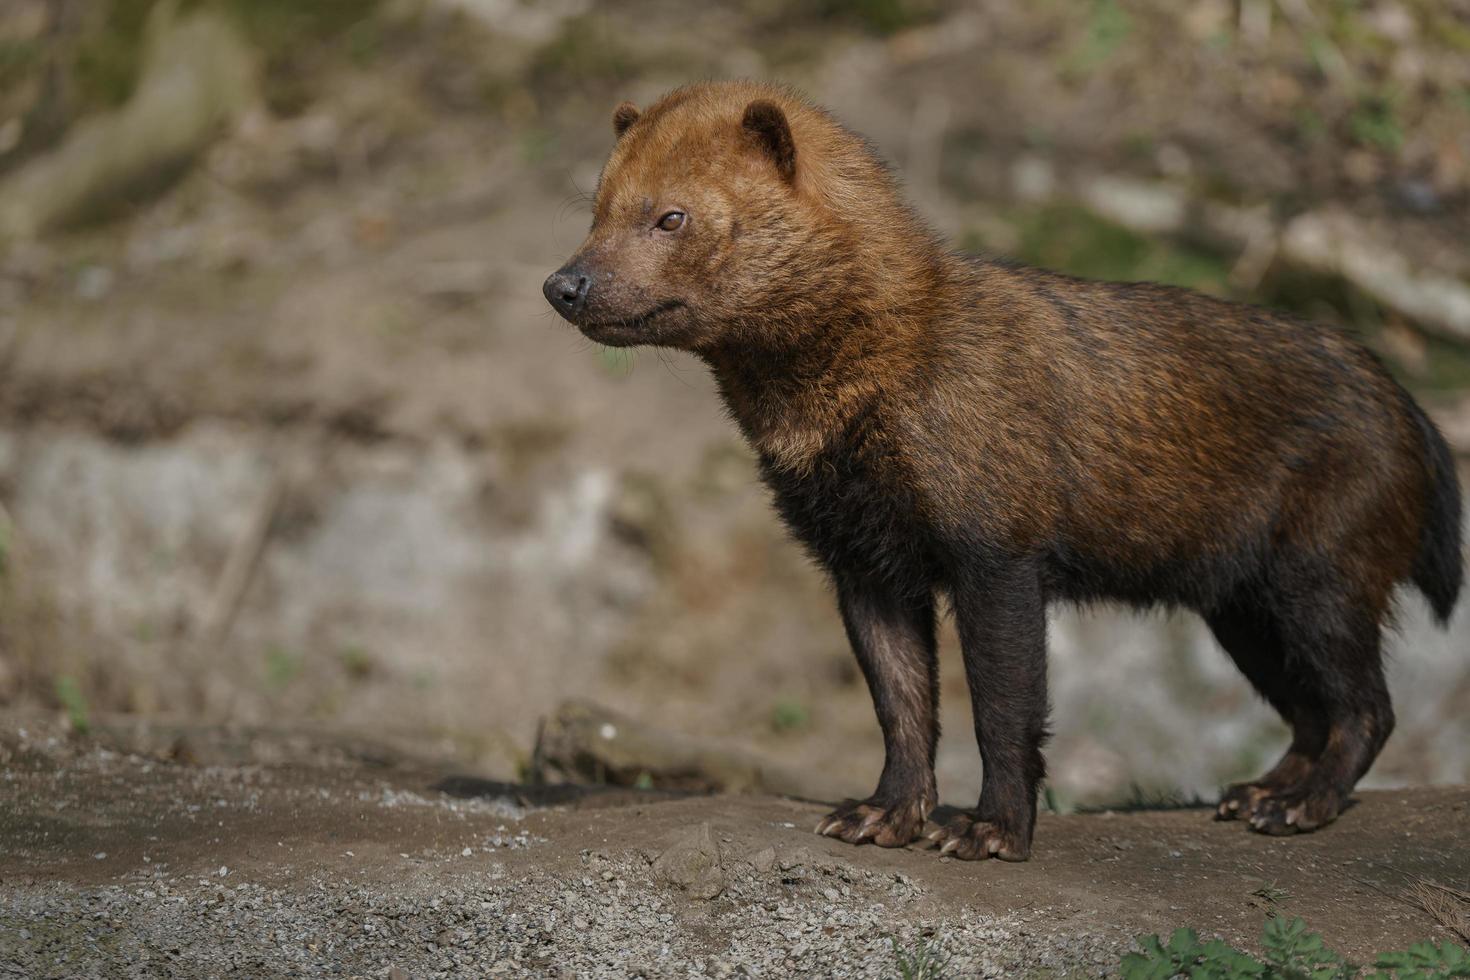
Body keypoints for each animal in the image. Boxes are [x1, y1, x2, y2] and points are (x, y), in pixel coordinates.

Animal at [543, 84, 1458, 863]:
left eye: (671, 214)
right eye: (595, 207)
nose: (563, 283)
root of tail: (1408, 407)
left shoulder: (998, 550)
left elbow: (1004, 704)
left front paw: (989, 830)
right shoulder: (862, 561)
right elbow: (902, 704)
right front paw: (882, 814)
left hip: (1322, 574)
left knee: (1367, 707)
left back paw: (1297, 807)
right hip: (1242, 607)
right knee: (1312, 711)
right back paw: (1257, 793)